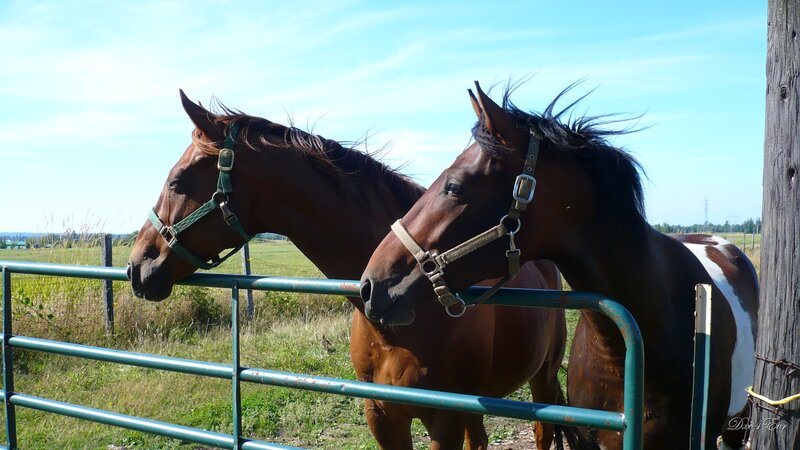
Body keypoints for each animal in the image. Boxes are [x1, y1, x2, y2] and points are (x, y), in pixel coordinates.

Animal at [127, 90, 567, 450]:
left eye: (177, 180)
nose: (137, 265)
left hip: (543, 378)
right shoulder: (382, 416)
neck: (400, 320)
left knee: (544, 432)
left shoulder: (444, 420)